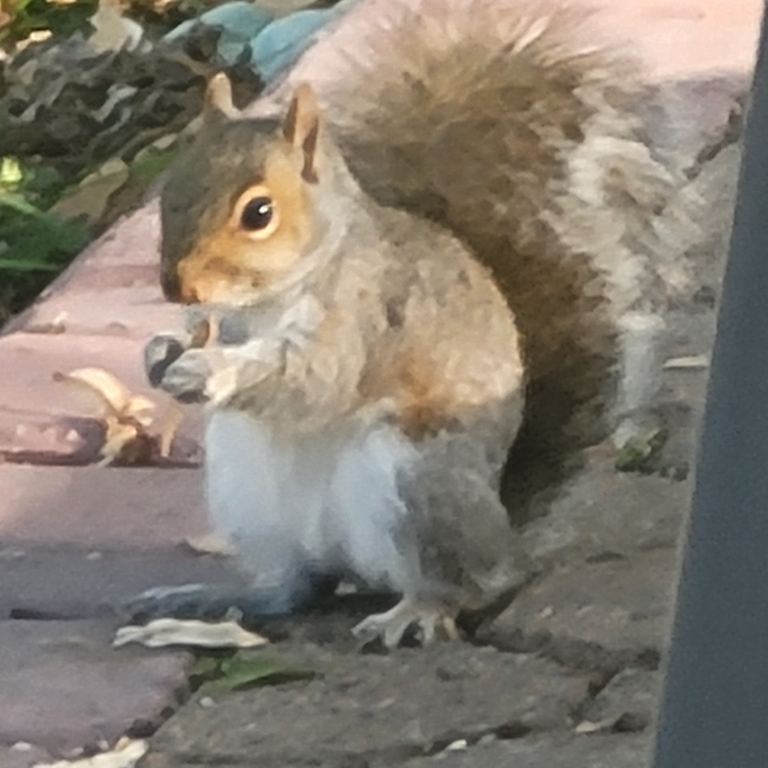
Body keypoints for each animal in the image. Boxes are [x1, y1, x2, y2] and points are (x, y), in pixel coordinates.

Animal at [141, 0, 695, 647]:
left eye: (259, 212)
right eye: (167, 194)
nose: (177, 288)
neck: (268, 299)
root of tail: (505, 526)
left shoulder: (366, 316)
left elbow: (312, 380)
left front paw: (214, 369)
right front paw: (161, 350)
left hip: (415, 488)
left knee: (470, 583)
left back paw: (416, 611)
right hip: (252, 503)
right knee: (294, 588)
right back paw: (213, 599)